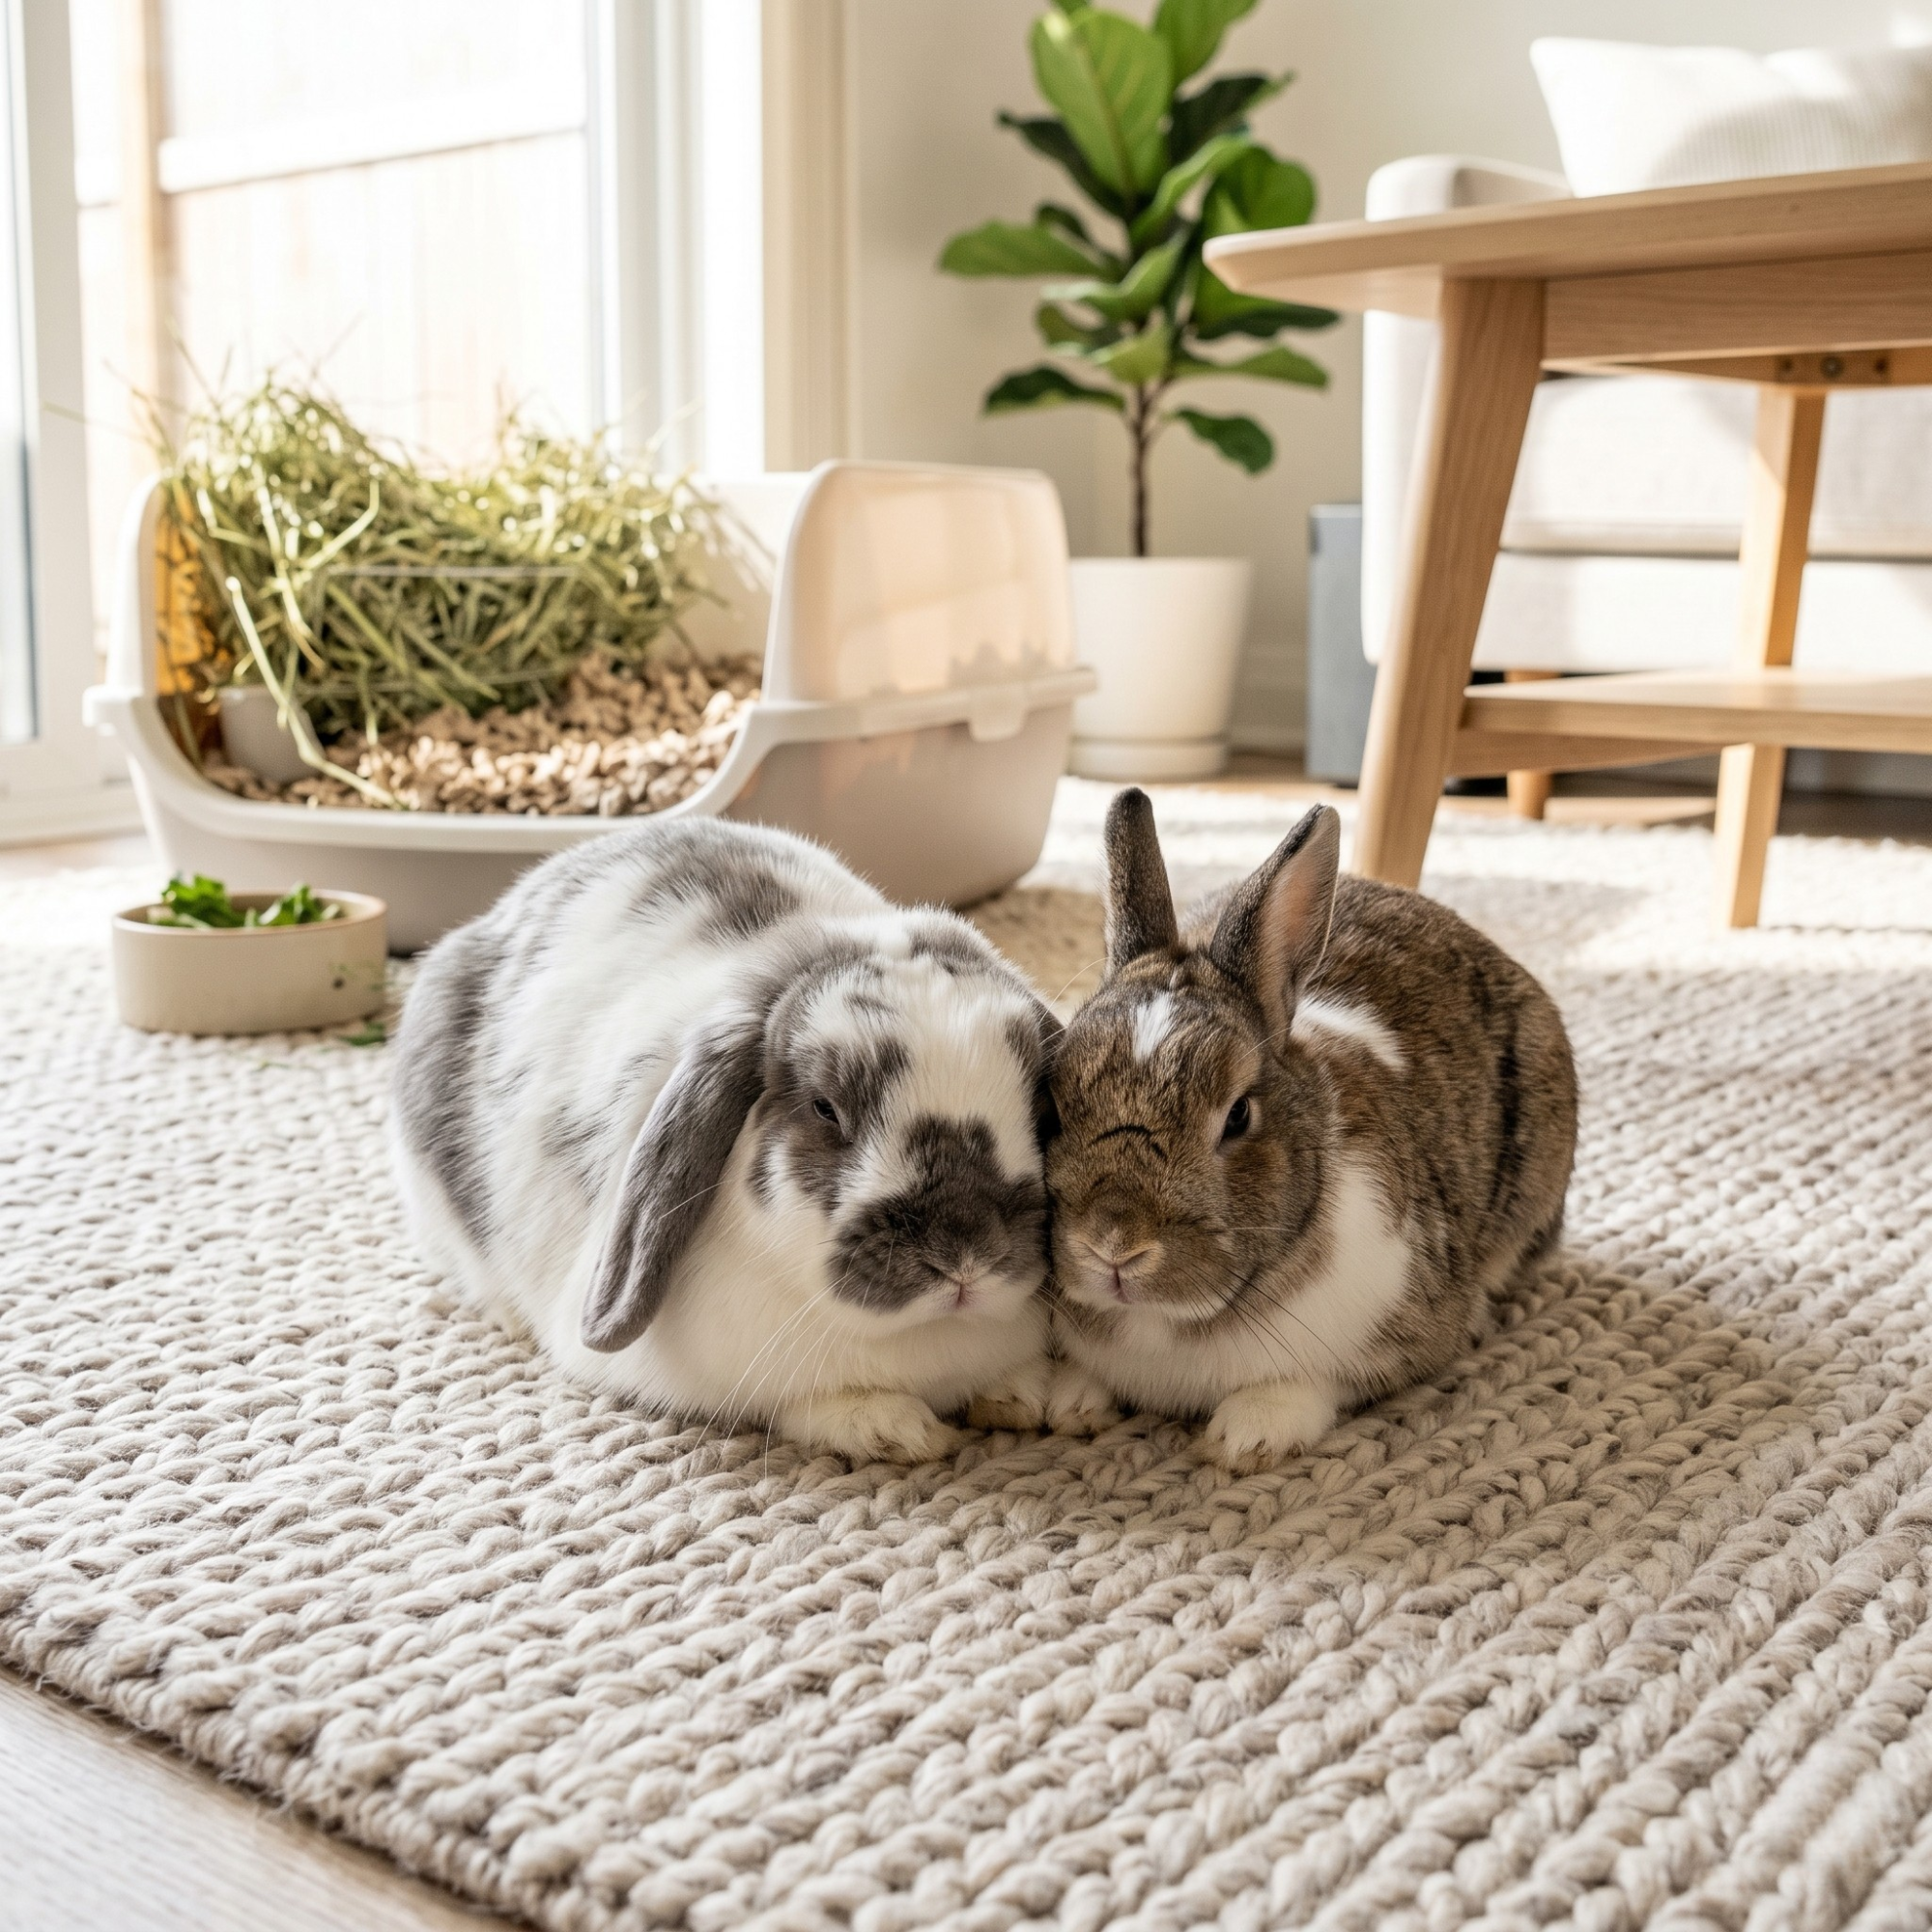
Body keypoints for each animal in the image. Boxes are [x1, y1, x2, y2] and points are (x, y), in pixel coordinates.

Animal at [389, 817, 1063, 1463]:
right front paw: (895, 1430)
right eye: (825, 1109)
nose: (966, 1256)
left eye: (1038, 1102)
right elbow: (804, 1405)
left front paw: (1029, 1397)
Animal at [1042, 788, 1577, 1472]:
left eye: (1238, 1115)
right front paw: (1067, 1401)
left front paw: (1248, 1435)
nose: (1113, 1246)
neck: (1163, 1324)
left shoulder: (1396, 1334)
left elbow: (1318, 1381)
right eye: (1055, 1103)